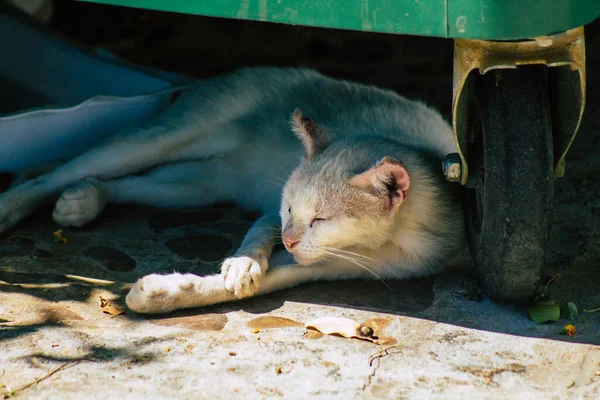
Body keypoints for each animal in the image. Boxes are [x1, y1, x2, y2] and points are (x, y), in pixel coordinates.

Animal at [0, 68, 464, 312]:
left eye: (320, 220)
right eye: (289, 210)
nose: (289, 239)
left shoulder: (340, 264)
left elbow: (274, 278)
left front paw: (165, 294)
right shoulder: (269, 215)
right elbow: (257, 237)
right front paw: (243, 264)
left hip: (195, 186)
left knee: (129, 183)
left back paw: (87, 199)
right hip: (170, 136)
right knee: (58, 169)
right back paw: (13, 205)